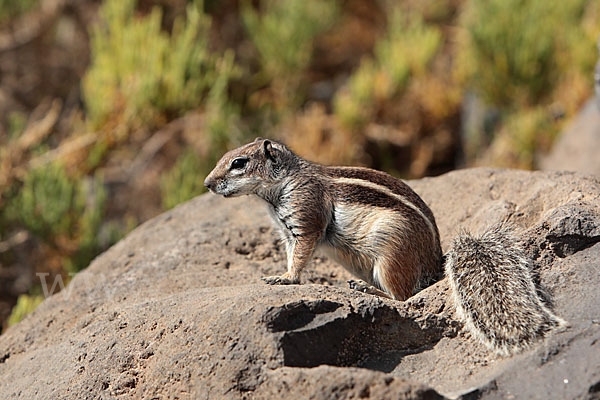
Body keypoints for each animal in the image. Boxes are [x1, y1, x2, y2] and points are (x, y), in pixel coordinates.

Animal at [204, 139, 564, 354]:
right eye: (223, 157)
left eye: (238, 163)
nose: (207, 184)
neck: (282, 184)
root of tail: (434, 266)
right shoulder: (286, 231)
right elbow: (292, 253)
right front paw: (280, 274)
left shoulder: (306, 219)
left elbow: (302, 254)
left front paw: (285, 278)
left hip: (391, 254)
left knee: (403, 296)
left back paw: (367, 289)